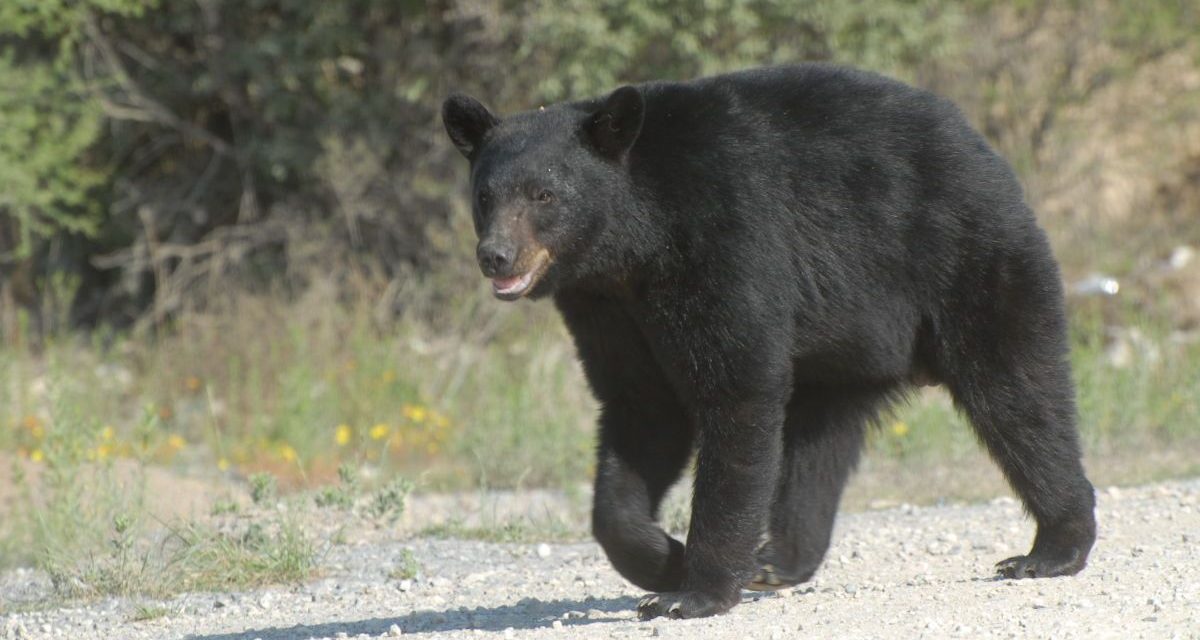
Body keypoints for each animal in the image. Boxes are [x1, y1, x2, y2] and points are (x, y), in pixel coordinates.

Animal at [441, 63, 1096, 620]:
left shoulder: (723, 242)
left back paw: (1051, 548)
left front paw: (692, 592)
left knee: (1017, 394)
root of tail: (981, 145)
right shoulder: (606, 309)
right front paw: (663, 558)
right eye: (485, 195)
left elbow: (737, 391)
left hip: (966, 262)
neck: (633, 246)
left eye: (544, 195)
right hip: (842, 348)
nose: (495, 255)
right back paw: (777, 560)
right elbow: (639, 408)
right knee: (816, 445)